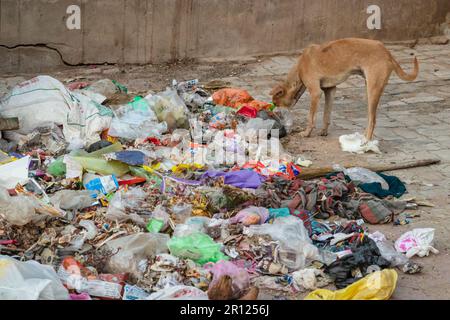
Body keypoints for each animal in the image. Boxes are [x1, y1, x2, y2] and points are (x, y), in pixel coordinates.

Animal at [272, 37, 420, 140]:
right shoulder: (330, 91)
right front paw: (324, 131)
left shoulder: (315, 93)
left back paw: (366, 141)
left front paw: (307, 133)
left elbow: (311, 118)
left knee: (373, 120)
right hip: (369, 89)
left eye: (275, 103)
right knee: (370, 118)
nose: (274, 115)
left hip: (373, 90)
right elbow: (326, 115)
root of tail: (387, 52)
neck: (300, 67)